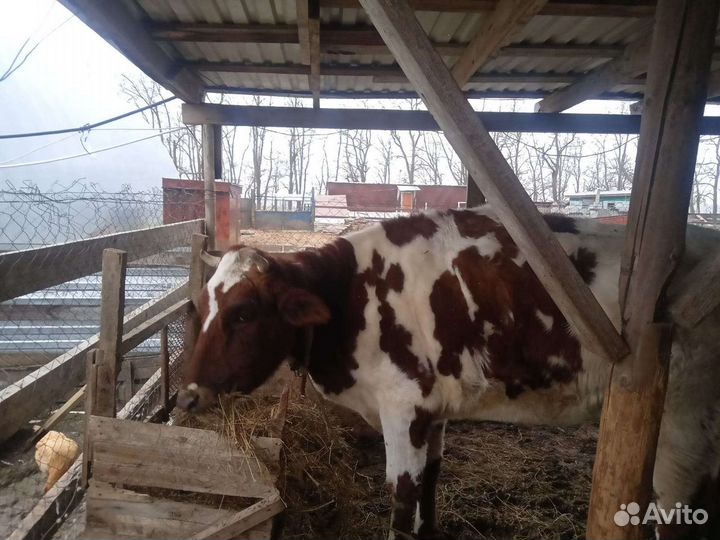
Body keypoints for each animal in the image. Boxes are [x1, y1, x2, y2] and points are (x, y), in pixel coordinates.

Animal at [177, 207, 720, 540]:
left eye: (244, 313)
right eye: (201, 305)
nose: (186, 396)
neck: (353, 296)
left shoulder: (402, 408)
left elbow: (402, 499)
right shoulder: (432, 410)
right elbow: (431, 484)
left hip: (681, 427)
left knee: (674, 515)